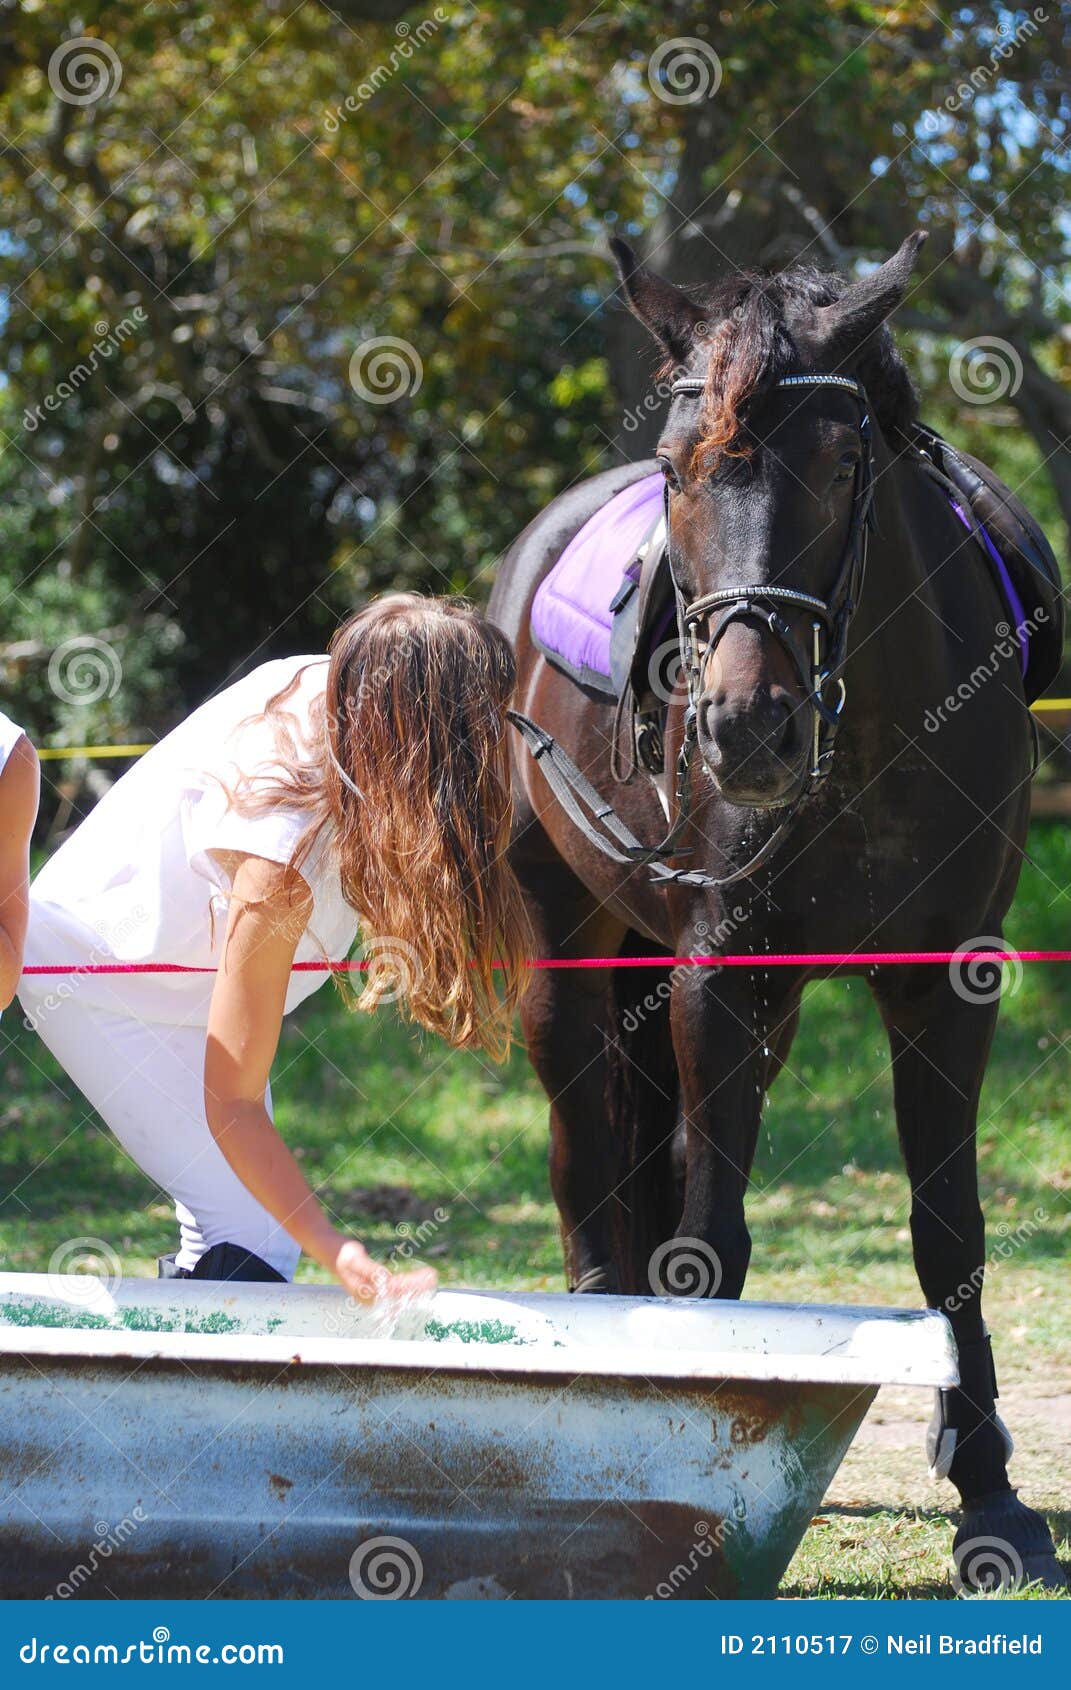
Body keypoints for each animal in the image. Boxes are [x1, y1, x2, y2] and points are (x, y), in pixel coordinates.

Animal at [487, 232, 1064, 1590]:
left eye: (845, 463)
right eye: (675, 469)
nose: (748, 727)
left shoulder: (945, 984)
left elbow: (947, 1229)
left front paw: (992, 1495)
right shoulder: (721, 977)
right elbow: (713, 1232)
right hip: (565, 947)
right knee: (581, 1136)